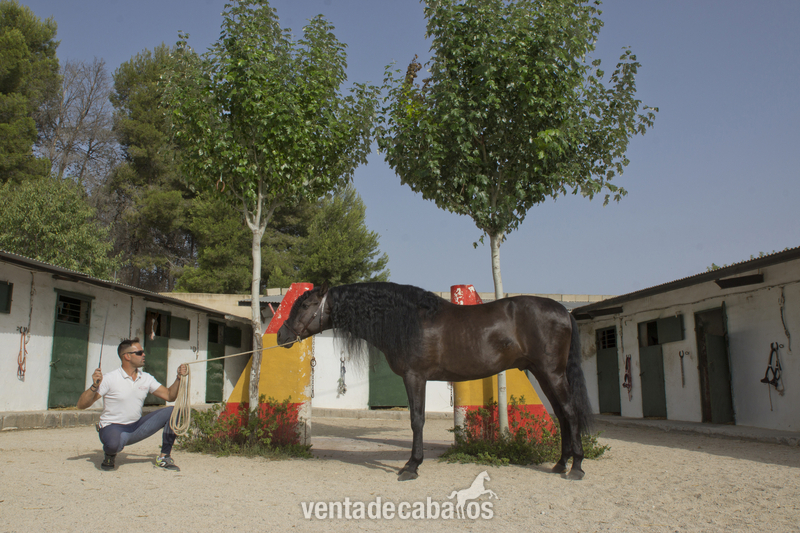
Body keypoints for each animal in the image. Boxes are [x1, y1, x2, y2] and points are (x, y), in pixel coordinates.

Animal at [276, 282, 593, 481]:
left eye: (306, 304)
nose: (281, 335)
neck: (410, 320)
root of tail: (563, 311)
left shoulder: (415, 377)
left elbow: (417, 420)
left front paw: (411, 466)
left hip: (551, 373)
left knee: (570, 412)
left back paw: (576, 466)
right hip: (543, 373)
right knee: (562, 415)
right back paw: (560, 463)